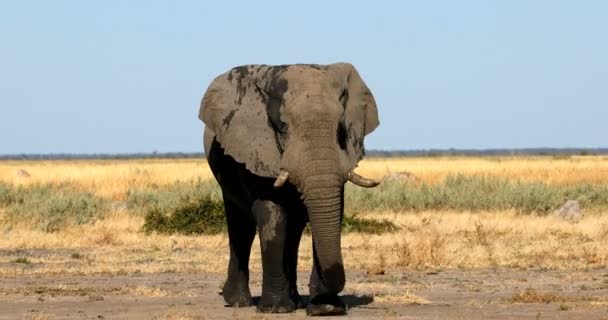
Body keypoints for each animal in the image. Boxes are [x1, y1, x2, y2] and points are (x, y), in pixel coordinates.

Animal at [200, 62, 380, 316]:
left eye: (341, 131)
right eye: (282, 128)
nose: (329, 301)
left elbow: (330, 214)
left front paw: (325, 308)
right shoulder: (258, 150)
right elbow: (272, 218)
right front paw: (275, 309)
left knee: (293, 233)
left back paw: (295, 301)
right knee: (241, 228)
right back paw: (238, 302)